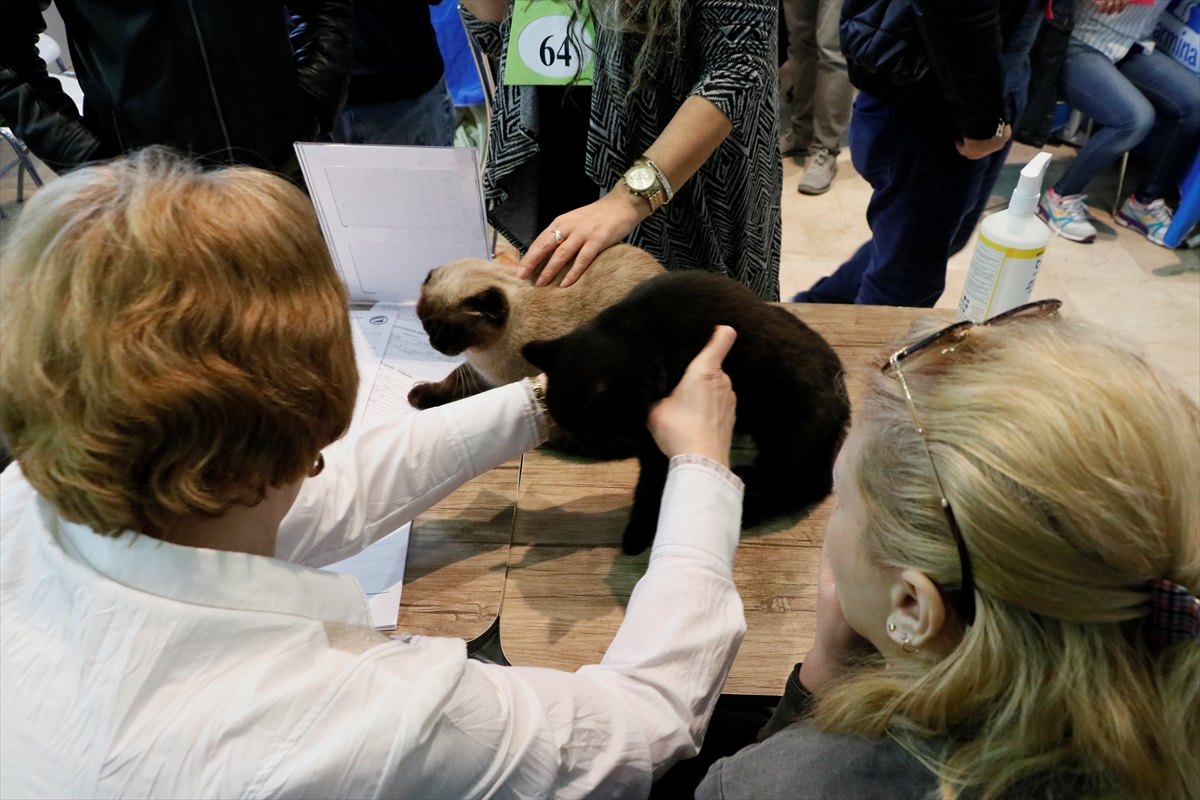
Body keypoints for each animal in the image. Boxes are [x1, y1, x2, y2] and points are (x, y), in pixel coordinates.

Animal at [405, 244, 667, 410]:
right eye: (426, 326)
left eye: (448, 331)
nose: (434, 344)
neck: (484, 357)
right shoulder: (479, 373)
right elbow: (452, 381)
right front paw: (417, 396)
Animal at [525, 272, 854, 554]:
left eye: (592, 429)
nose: (581, 442)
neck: (646, 334)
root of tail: (844, 394)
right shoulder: (649, 439)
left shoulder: (656, 443)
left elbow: (651, 488)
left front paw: (638, 534)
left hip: (787, 439)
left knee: (800, 483)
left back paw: (749, 505)